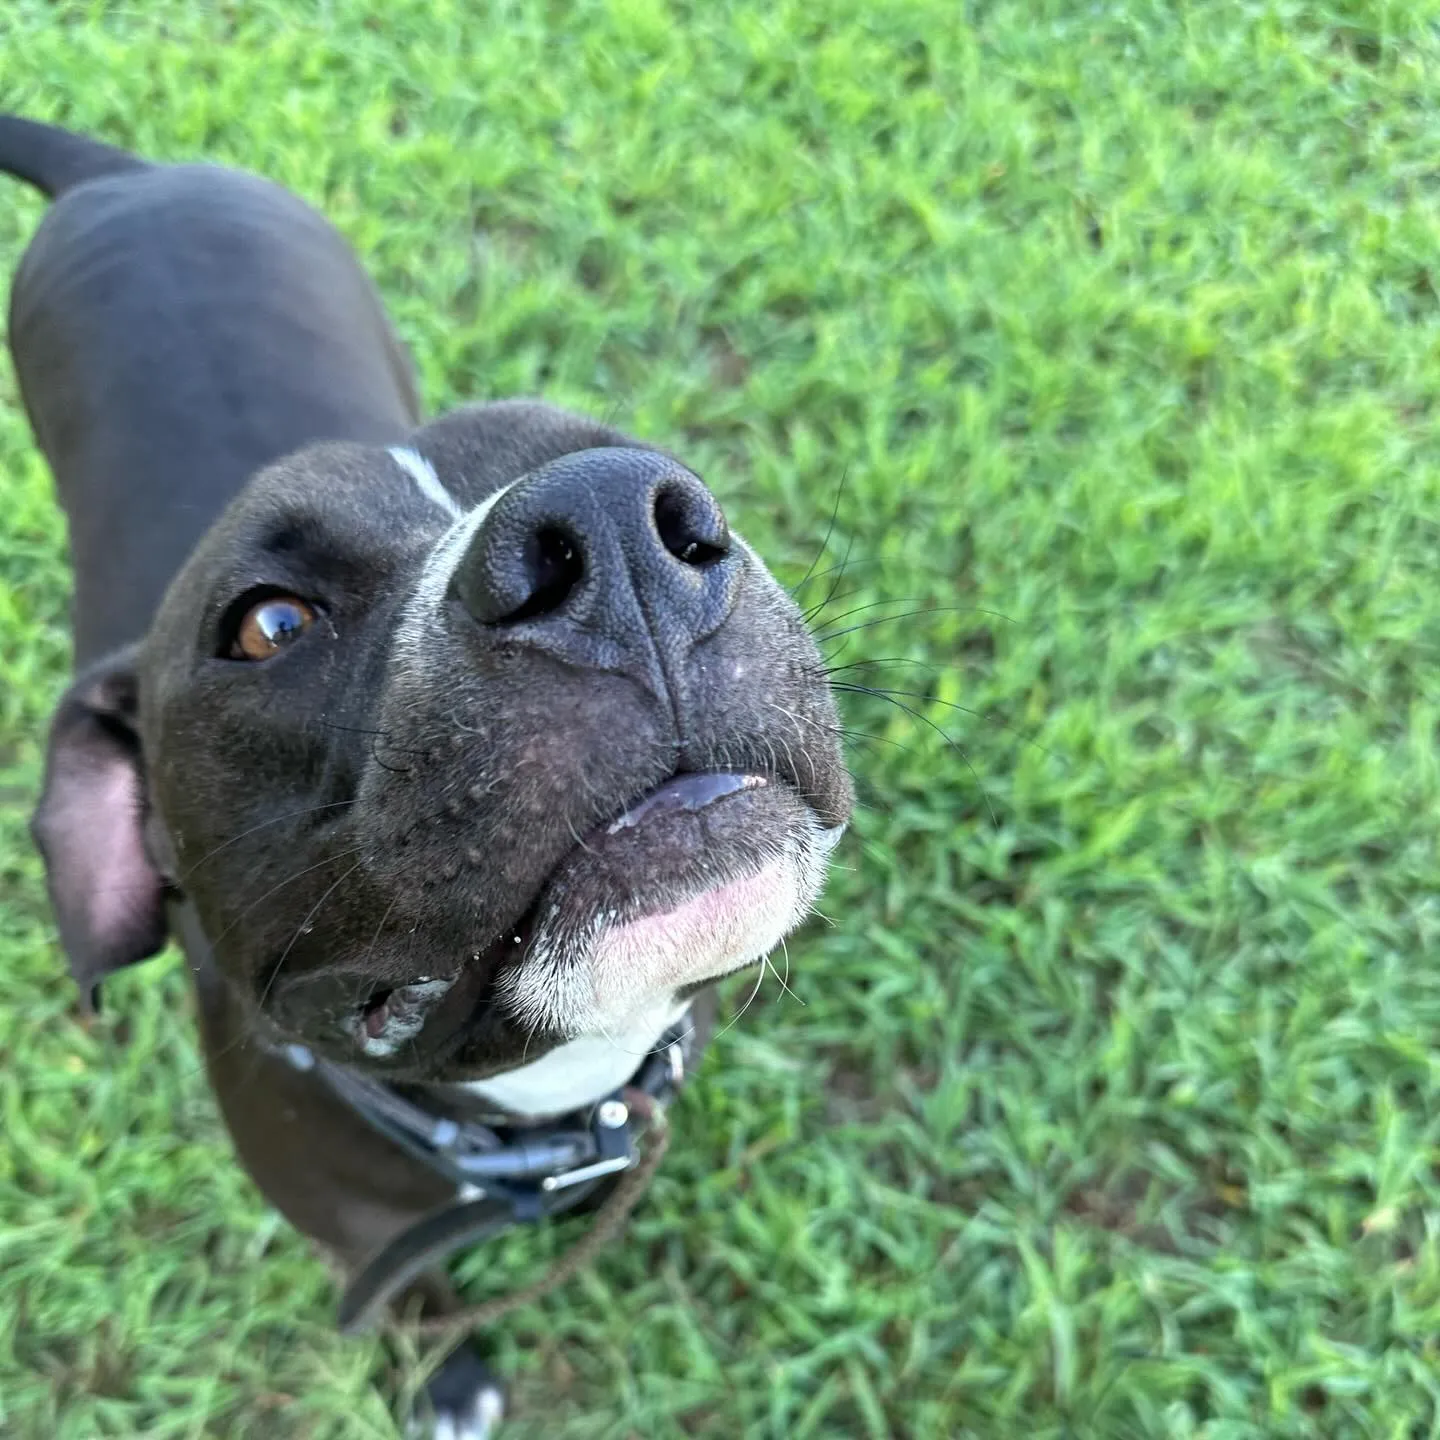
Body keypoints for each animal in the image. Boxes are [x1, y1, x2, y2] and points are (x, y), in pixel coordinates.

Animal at [0, 115, 846, 1440]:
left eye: (649, 464)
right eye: (268, 626)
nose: (613, 523)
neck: (555, 1094)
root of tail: (126, 179)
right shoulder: (367, 1251)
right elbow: (418, 1303)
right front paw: (444, 1383)